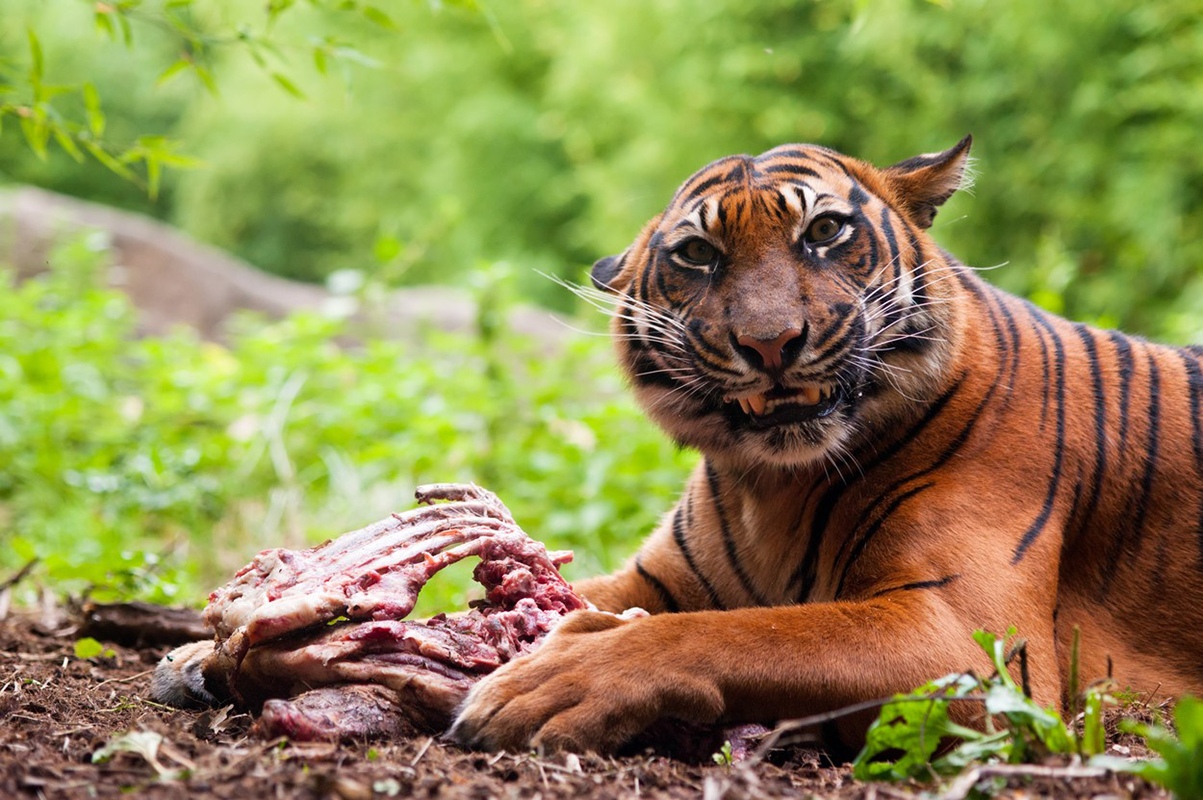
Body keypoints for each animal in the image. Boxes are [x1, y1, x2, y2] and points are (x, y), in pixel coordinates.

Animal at [447, 134, 1203, 750]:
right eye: (698, 254)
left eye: (825, 230)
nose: (769, 342)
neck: (770, 487)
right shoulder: (654, 577)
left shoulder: (971, 643)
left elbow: (753, 632)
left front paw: (554, 679)